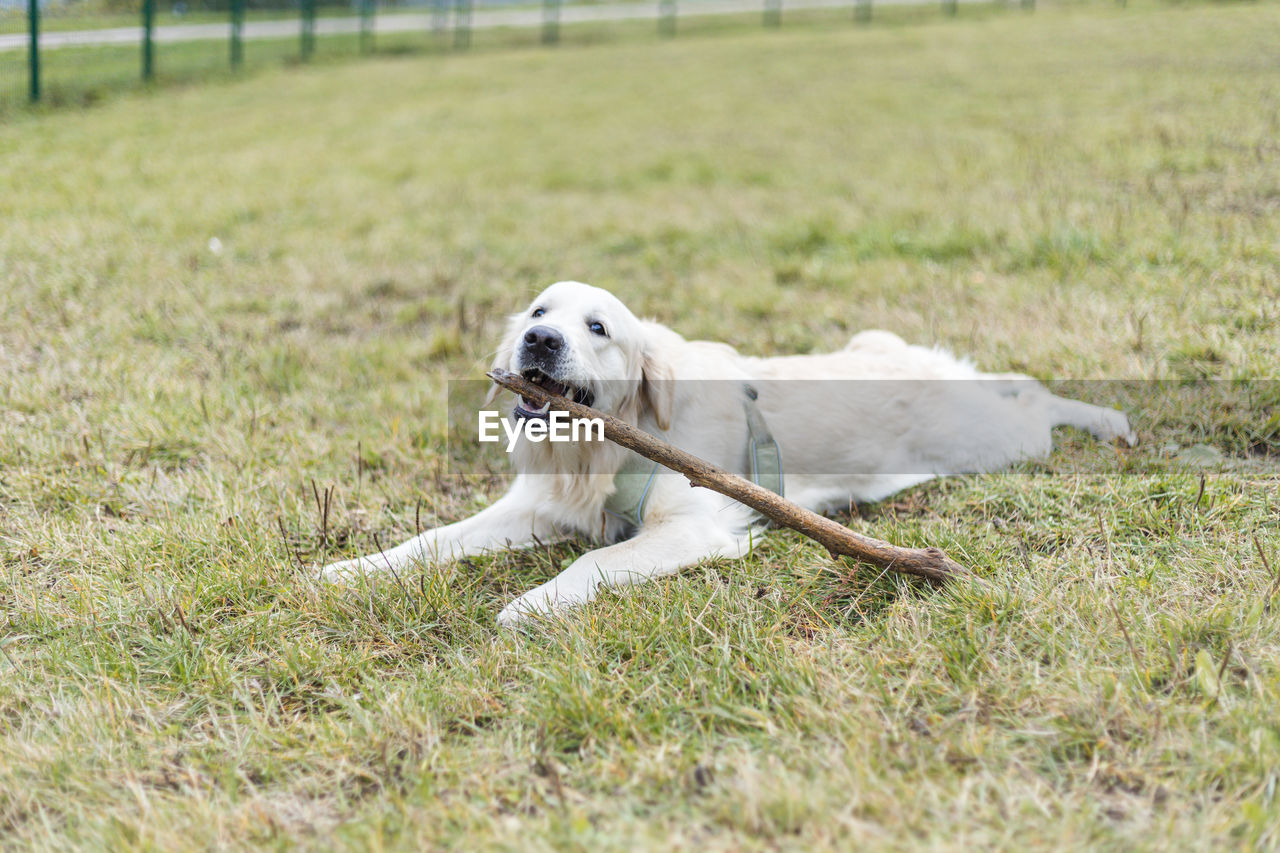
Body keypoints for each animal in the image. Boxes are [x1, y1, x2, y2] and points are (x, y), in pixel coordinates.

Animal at [322, 281, 1141, 622]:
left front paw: (530, 603)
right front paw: (349, 570)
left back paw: (1108, 419)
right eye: (537, 312)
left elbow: (592, 563)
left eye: (598, 328)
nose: (540, 341)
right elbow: (432, 538)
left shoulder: (690, 528)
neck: (602, 448)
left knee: (1039, 399)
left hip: (997, 440)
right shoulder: (540, 505)